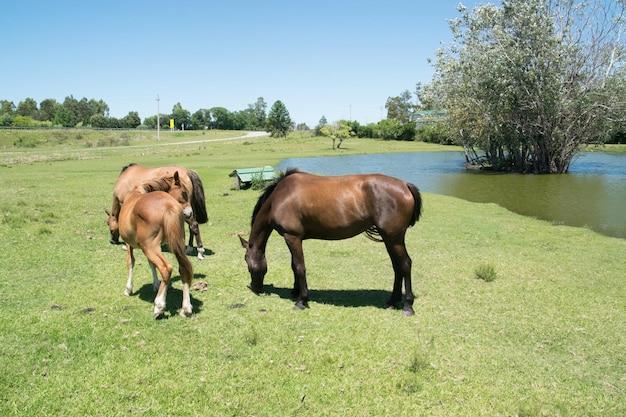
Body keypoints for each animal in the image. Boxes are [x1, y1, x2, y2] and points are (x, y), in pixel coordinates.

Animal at [105, 172, 194, 318]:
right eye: (183, 192)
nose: (189, 213)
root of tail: (167, 205)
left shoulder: (130, 244)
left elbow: (130, 262)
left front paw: (128, 289)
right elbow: (151, 264)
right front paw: (156, 284)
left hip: (150, 247)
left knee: (166, 269)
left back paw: (159, 306)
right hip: (174, 246)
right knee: (183, 269)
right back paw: (186, 308)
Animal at [239, 167, 424, 316]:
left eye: (246, 260)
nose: (256, 288)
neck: (280, 196)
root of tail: (405, 185)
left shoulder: (292, 237)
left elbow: (299, 267)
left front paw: (302, 300)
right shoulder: (293, 238)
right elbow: (294, 266)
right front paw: (295, 291)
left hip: (393, 238)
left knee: (405, 265)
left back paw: (408, 306)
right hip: (390, 238)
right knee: (397, 267)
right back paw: (392, 301)